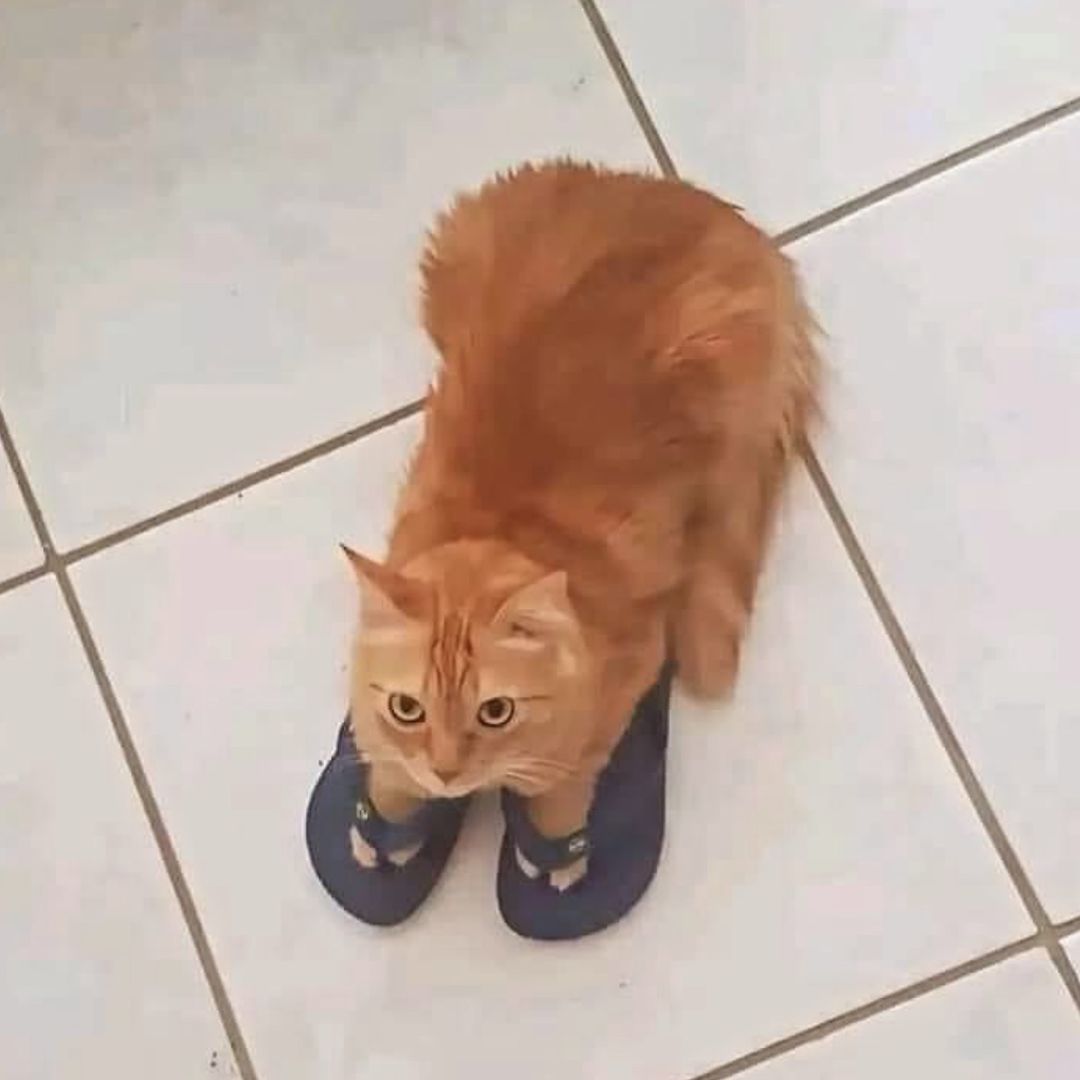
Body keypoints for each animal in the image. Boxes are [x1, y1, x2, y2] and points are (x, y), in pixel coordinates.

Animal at [343, 161, 820, 889]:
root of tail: (666, 189)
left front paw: (551, 853)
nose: (448, 772)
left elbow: (564, 780)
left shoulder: (630, 669)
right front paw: (387, 824)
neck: (502, 531)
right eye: (408, 708)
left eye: (495, 711)